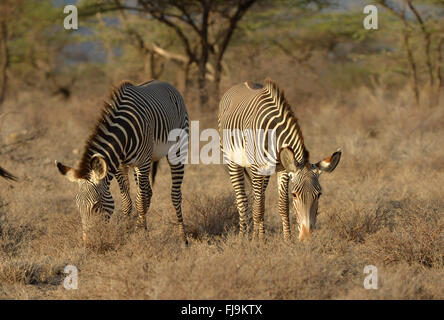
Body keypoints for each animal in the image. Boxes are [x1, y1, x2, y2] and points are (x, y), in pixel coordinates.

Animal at [54, 79, 188, 242]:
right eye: (78, 206)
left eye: (96, 206)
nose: (89, 242)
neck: (124, 134)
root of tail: (165, 83)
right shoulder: (119, 166)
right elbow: (127, 202)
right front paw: (128, 234)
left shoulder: (143, 163)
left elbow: (140, 202)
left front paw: (143, 238)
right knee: (147, 193)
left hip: (177, 149)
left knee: (174, 194)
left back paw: (183, 238)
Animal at [218, 79, 340, 241]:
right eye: (295, 194)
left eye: (319, 194)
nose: (307, 237)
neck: (274, 135)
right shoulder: (257, 167)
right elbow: (258, 207)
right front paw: (254, 241)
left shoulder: (283, 169)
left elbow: (283, 205)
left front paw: (287, 240)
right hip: (232, 161)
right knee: (242, 200)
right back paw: (243, 237)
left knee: (260, 197)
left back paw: (262, 236)